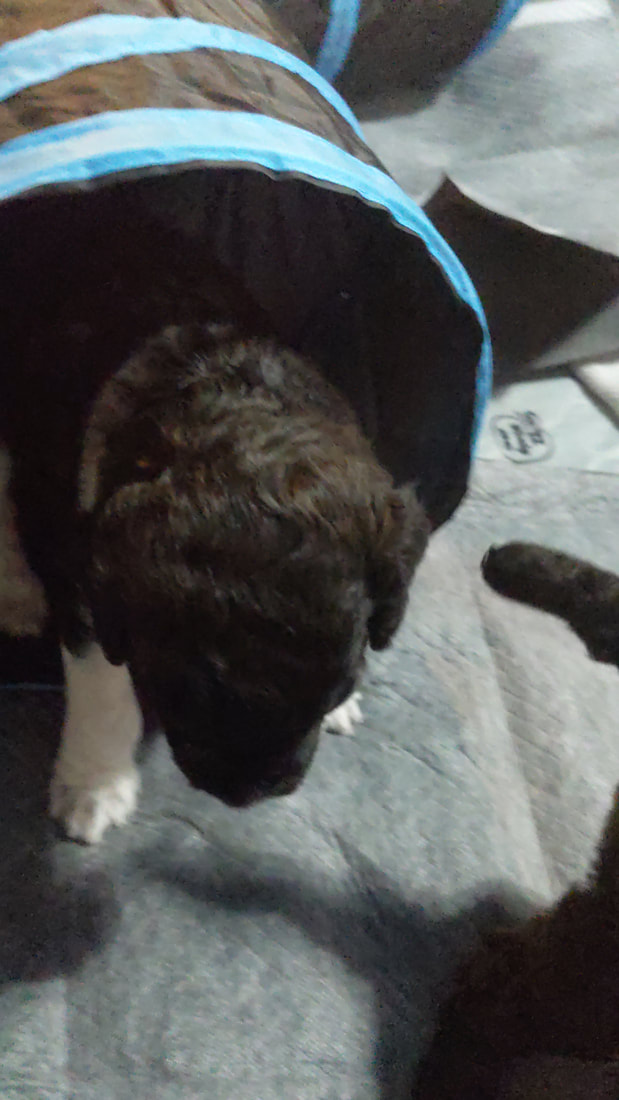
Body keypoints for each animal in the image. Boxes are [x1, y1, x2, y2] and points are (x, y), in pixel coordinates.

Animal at [0, 181, 429, 843]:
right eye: (183, 690)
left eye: (335, 685)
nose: (250, 794)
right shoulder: (71, 546)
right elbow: (101, 676)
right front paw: (95, 785)